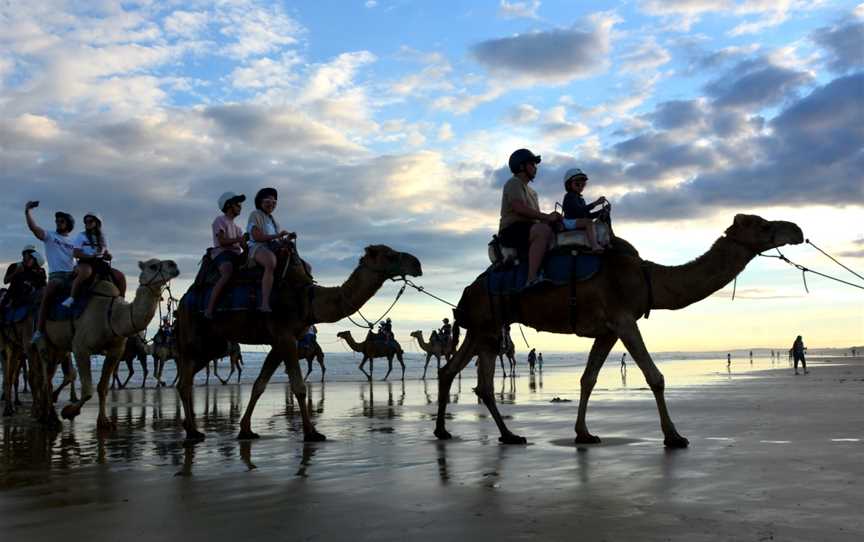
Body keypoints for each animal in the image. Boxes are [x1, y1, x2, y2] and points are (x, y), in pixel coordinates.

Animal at [37, 260, 181, 434]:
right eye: (153, 265)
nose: (173, 264)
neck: (111, 316)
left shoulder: (115, 351)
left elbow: (102, 387)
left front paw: (104, 422)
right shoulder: (80, 348)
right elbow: (88, 390)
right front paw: (69, 412)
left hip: (59, 347)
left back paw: (47, 414)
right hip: (45, 341)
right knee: (45, 377)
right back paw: (50, 417)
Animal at [177, 244, 420, 444]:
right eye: (389, 255)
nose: (417, 263)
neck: (307, 300)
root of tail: (183, 300)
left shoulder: (279, 342)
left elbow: (259, 385)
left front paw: (246, 430)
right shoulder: (285, 336)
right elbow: (298, 386)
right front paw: (312, 432)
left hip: (214, 344)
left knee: (187, 377)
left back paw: (191, 428)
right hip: (193, 335)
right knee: (185, 378)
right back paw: (192, 432)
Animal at [436, 217, 808, 450]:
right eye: (763, 225)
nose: (797, 229)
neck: (647, 278)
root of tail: (468, 290)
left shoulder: (609, 330)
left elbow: (588, 378)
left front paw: (584, 434)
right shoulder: (624, 319)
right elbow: (655, 376)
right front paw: (674, 437)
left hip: (484, 328)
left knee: (458, 373)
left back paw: (482, 433)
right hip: (486, 323)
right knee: (470, 375)